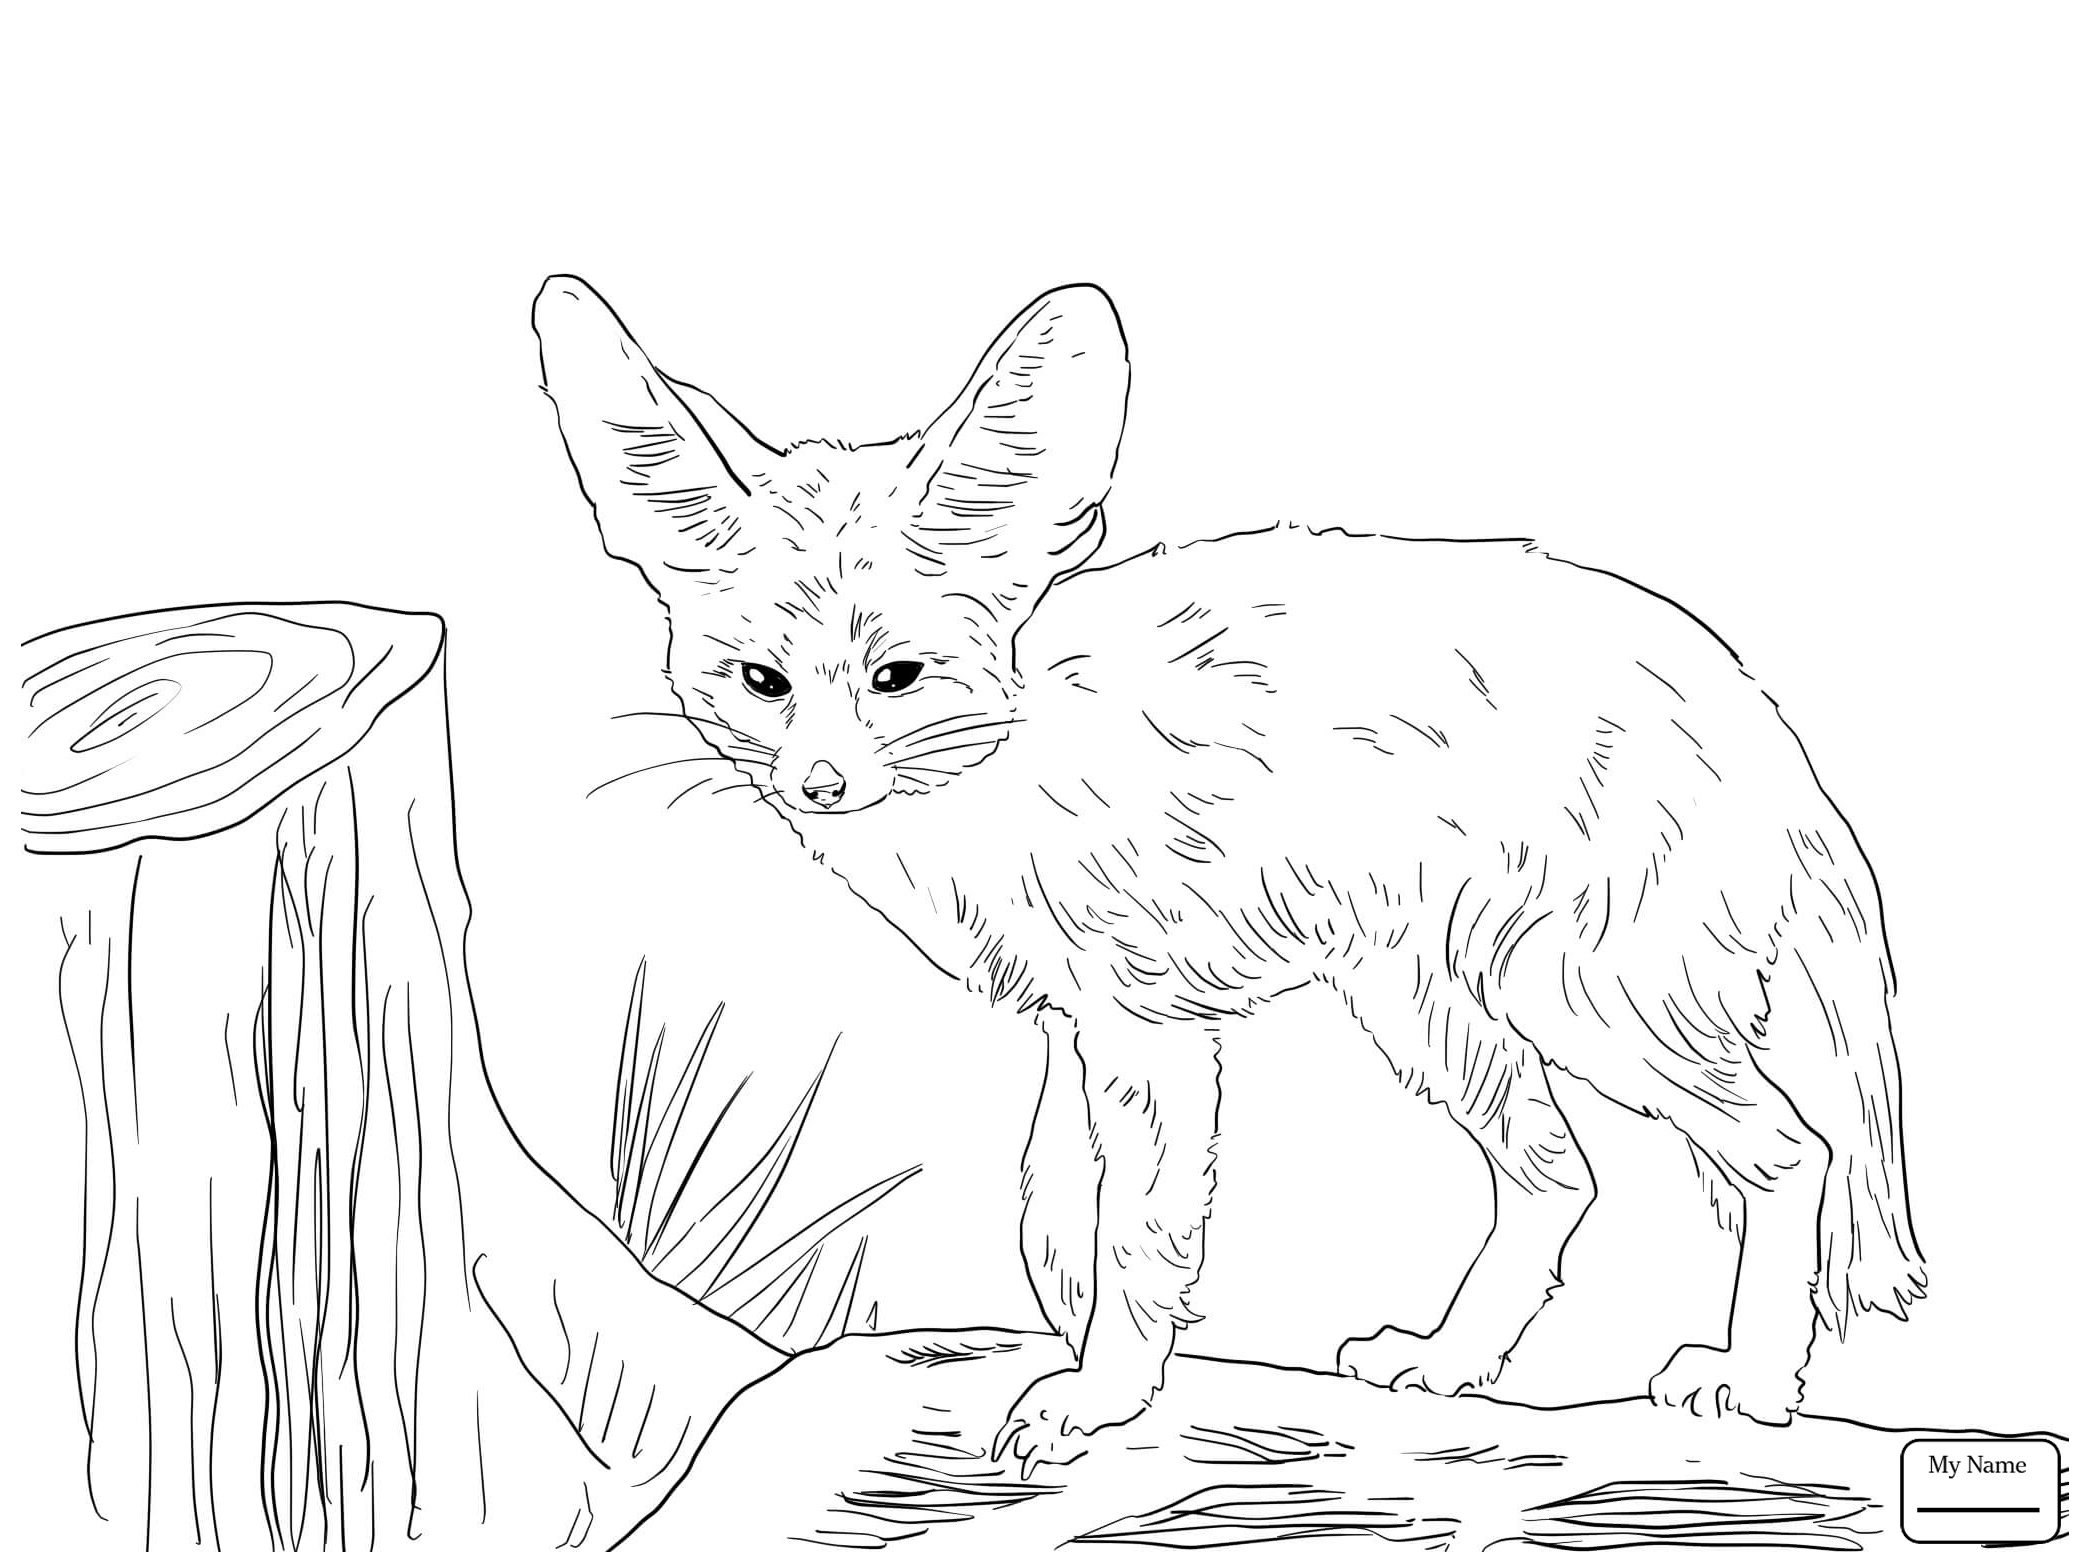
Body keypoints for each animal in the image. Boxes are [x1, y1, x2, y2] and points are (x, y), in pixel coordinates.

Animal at [533, 276, 1924, 1471]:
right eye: (760, 682)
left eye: (898, 677)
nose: (819, 784)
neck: (1006, 767)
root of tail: (1752, 709)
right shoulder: (1077, 1020)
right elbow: (1053, 1209)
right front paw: (1094, 1353)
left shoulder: (1147, 1024)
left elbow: (1138, 1225)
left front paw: (1100, 1393)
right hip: (1432, 1012)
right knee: (1558, 1169)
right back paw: (1453, 1358)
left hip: (1588, 1005)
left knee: (1789, 1152)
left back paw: (1751, 1382)